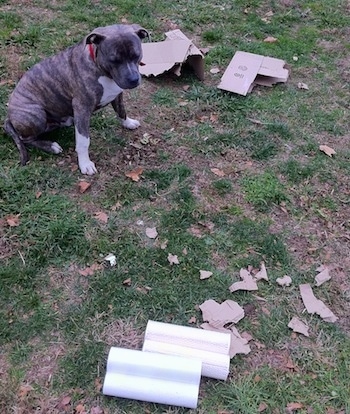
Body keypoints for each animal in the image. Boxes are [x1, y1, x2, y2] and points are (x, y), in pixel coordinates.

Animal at [4, 23, 149, 175]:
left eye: (136, 55)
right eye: (114, 60)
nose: (133, 79)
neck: (101, 69)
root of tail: (8, 116)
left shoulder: (117, 94)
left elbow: (121, 110)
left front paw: (128, 122)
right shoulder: (82, 108)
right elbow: (83, 141)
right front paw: (85, 164)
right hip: (36, 114)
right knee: (25, 139)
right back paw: (51, 146)